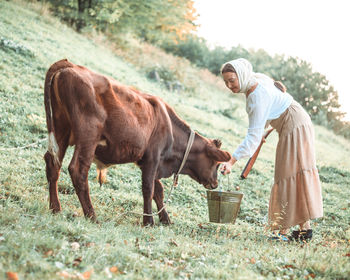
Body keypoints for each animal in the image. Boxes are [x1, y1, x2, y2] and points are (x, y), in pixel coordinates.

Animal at [43, 59, 231, 225]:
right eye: (216, 164)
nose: (215, 183)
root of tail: (70, 65)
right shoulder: (153, 158)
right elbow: (149, 189)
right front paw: (148, 221)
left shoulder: (149, 161)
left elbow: (158, 190)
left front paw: (165, 219)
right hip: (88, 135)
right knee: (78, 170)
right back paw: (92, 216)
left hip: (61, 128)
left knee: (53, 163)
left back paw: (55, 208)